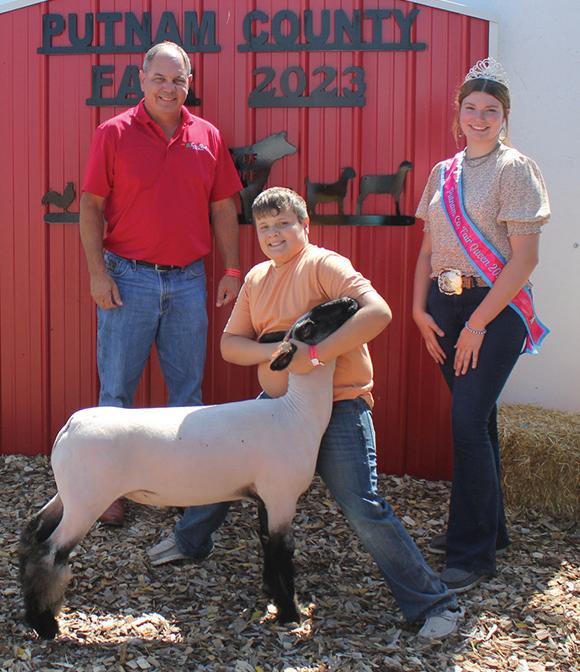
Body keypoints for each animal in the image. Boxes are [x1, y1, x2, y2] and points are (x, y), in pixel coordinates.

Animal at [19, 298, 359, 640]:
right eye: (314, 322)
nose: (351, 301)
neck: (296, 413)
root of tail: (69, 426)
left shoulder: (265, 497)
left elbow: (266, 544)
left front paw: (272, 594)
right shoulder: (282, 496)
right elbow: (282, 551)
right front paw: (290, 614)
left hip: (70, 493)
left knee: (34, 532)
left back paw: (32, 613)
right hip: (88, 499)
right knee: (50, 553)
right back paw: (46, 625)